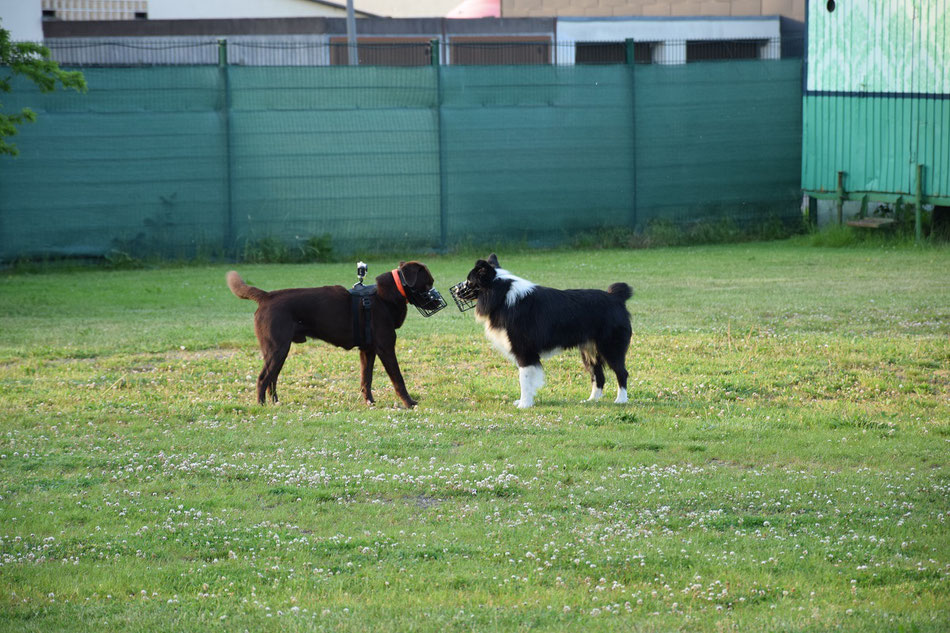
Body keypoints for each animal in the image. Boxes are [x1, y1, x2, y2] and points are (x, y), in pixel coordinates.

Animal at [231, 260, 442, 404]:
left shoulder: (368, 350)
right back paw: (261, 406)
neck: (386, 296)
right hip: (277, 349)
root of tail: (266, 296)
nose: (439, 301)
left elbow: (366, 380)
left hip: (280, 351)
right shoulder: (386, 348)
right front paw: (409, 403)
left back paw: (275, 403)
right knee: (262, 378)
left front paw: (370, 402)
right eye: (428, 284)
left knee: (272, 379)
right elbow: (398, 379)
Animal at [452, 254, 632, 408]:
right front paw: (525, 401)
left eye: (469, 281)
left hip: (610, 347)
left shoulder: (524, 350)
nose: (456, 291)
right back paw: (592, 400)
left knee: (621, 372)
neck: (501, 295)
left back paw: (621, 400)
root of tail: (616, 298)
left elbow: (524, 379)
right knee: (597, 374)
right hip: (589, 349)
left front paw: (524, 404)